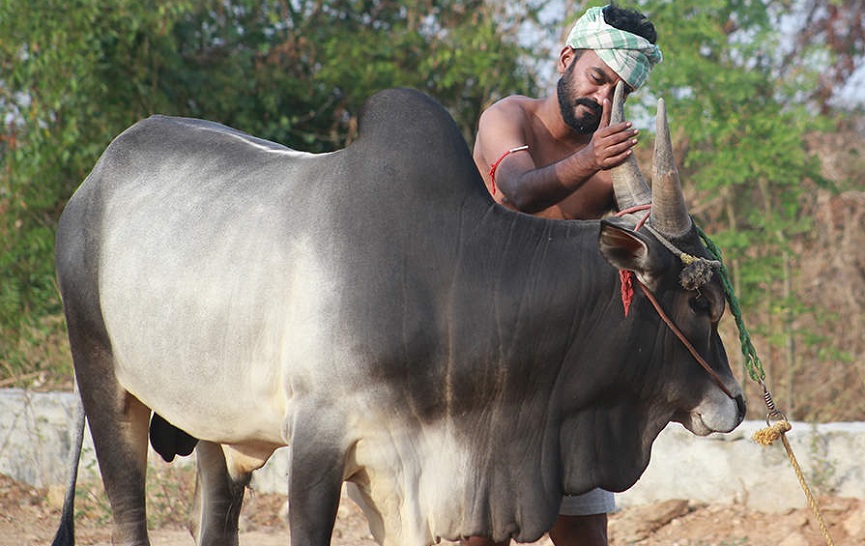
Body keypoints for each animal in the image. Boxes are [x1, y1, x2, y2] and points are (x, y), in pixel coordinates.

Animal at [52, 85, 744, 544]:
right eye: (699, 300)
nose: (736, 403)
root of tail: (93, 183)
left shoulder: (411, 479)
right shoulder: (319, 441)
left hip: (218, 430)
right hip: (103, 379)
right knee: (128, 510)